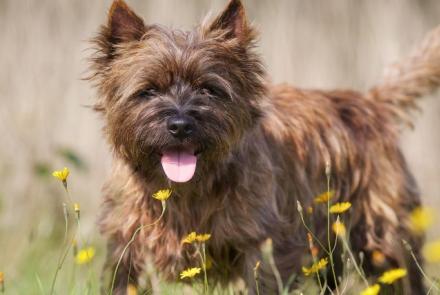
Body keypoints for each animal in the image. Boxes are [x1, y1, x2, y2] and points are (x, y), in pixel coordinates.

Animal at [88, 1, 440, 294]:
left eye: (209, 89)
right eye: (148, 91)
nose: (180, 125)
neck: (185, 192)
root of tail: (371, 103)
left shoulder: (262, 247)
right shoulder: (127, 247)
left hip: (383, 239)